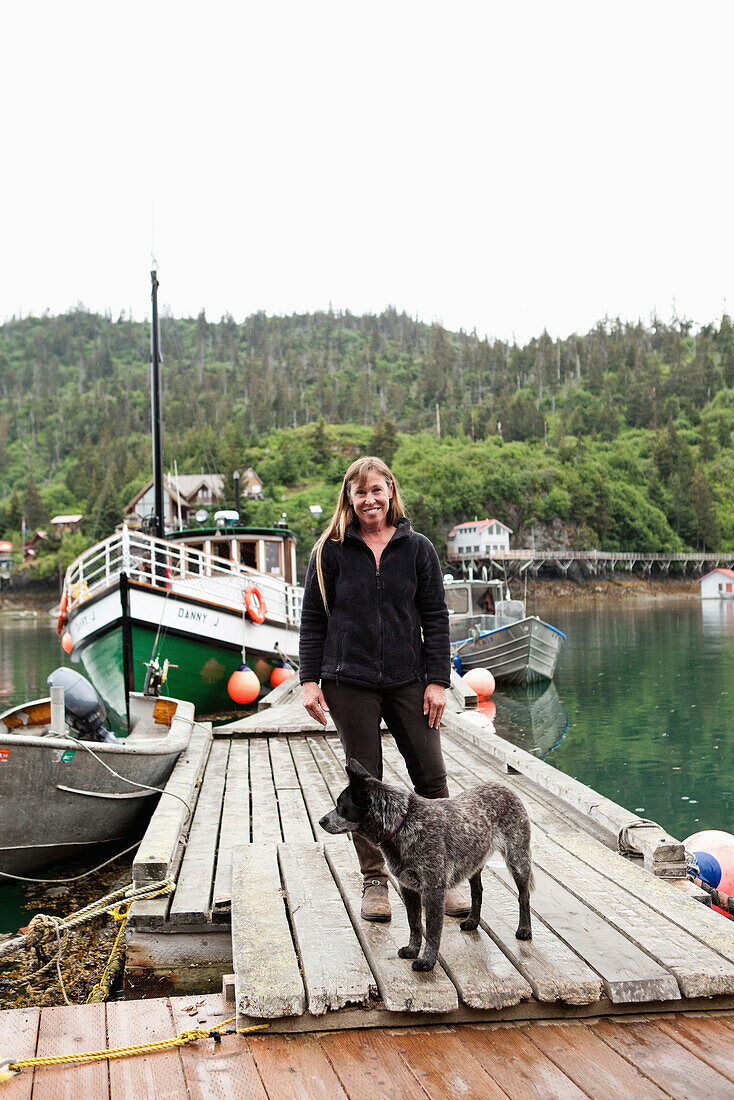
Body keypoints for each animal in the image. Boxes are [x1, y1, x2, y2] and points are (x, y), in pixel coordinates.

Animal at [319, 761, 534, 968]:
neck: (402, 823)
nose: (321, 821)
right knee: (477, 891)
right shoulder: (408, 887)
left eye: (341, 805)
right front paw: (413, 950)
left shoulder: (433, 889)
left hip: (517, 860)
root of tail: (503, 787)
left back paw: (524, 929)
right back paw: (473, 921)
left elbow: (431, 930)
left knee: (523, 897)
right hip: (474, 861)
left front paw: (427, 961)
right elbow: (414, 923)